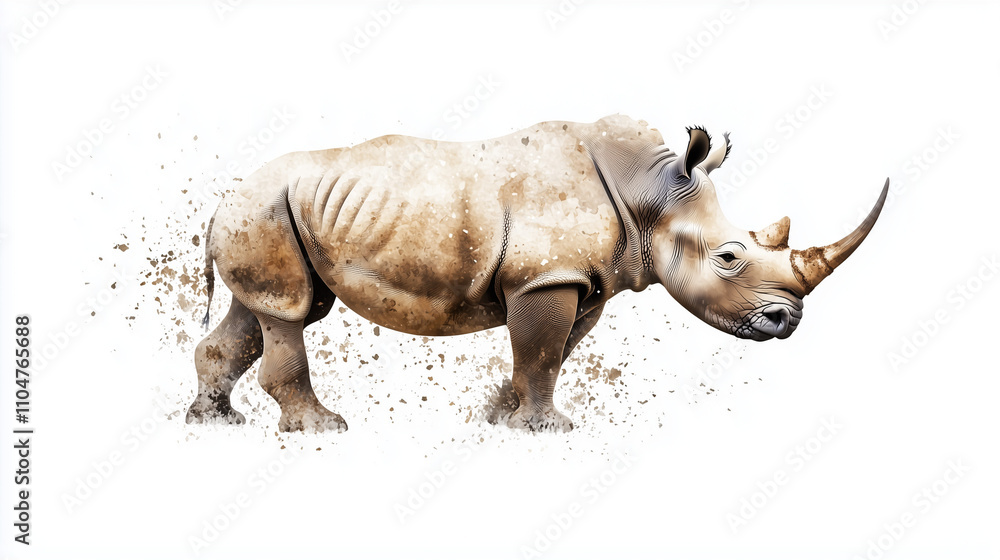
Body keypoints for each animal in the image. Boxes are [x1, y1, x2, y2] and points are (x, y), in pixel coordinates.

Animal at [185, 115, 887, 433]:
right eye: (728, 257)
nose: (787, 321)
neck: (649, 196)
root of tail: (220, 200)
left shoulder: (582, 279)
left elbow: (550, 353)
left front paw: (500, 418)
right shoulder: (545, 277)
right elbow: (545, 351)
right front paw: (549, 432)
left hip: (272, 211)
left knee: (267, 312)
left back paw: (213, 423)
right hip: (265, 209)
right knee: (288, 314)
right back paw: (322, 430)